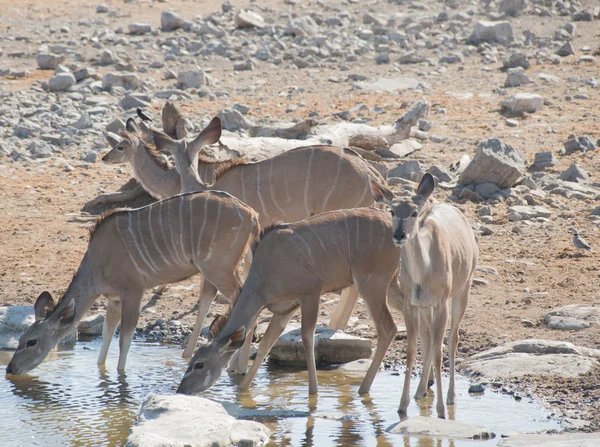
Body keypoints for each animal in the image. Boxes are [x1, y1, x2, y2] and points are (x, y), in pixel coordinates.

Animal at [5, 191, 258, 376]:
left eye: (31, 341)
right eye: (20, 339)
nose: (10, 368)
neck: (98, 261)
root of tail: (251, 214)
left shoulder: (133, 292)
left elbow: (124, 340)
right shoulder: (114, 299)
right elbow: (107, 334)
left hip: (218, 269)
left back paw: (238, 367)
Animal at [178, 208, 404, 398]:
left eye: (199, 364)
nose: (181, 390)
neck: (265, 270)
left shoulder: (311, 293)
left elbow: (307, 338)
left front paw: (313, 393)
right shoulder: (284, 309)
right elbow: (265, 345)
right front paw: (242, 391)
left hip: (370, 285)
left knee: (388, 328)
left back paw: (364, 389)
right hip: (390, 285)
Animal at [370, 173, 478, 418]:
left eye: (414, 212)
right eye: (392, 210)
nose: (399, 235)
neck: (423, 274)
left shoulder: (441, 302)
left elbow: (439, 351)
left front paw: (441, 410)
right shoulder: (411, 304)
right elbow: (412, 350)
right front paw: (402, 406)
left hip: (462, 290)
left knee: (452, 338)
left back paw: (450, 396)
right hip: (426, 307)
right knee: (429, 339)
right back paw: (421, 391)